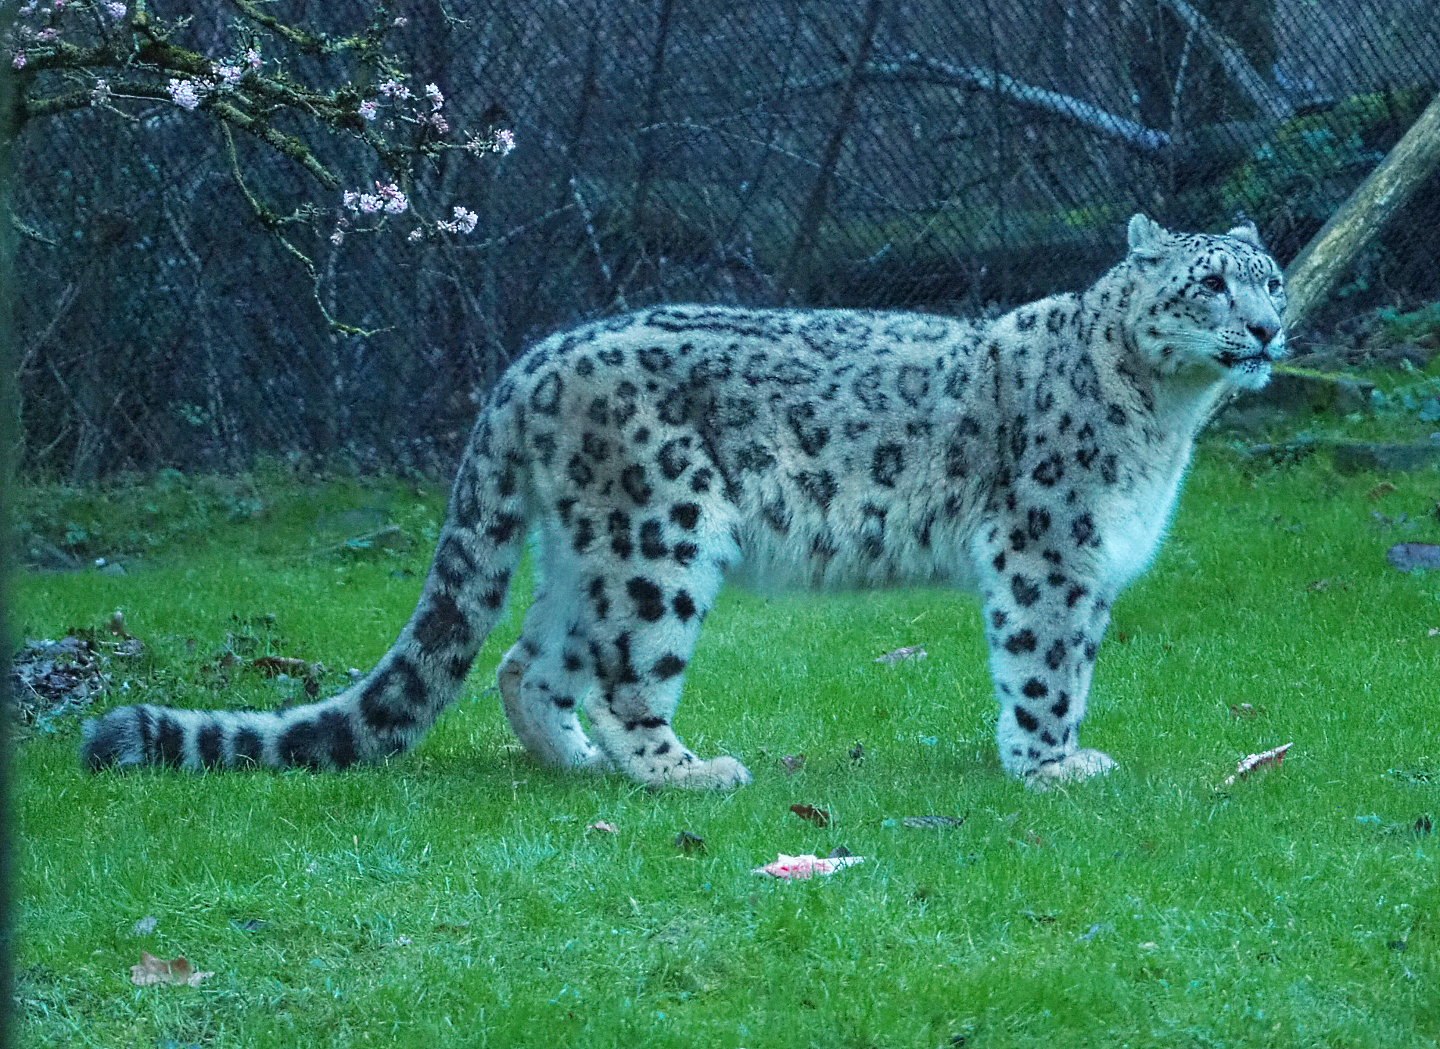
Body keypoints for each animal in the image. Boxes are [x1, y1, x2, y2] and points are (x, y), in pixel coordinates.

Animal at [81, 213, 1286, 789]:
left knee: (528, 658)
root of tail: (532, 360)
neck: (1170, 422)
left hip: (589, 552)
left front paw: (1062, 750)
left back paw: (568, 761)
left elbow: (1072, 663)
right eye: (1209, 284)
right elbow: (1043, 665)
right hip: (660, 533)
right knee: (625, 676)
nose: (1273, 327)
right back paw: (685, 770)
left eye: (1268, 276)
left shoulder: (1095, 565)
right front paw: (1051, 764)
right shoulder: (1049, 550)